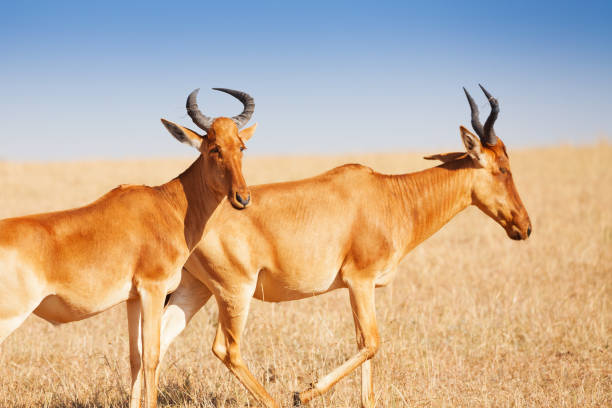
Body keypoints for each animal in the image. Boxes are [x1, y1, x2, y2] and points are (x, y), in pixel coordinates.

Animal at [0, 87, 256, 408]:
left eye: (241, 147)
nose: (242, 198)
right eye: (214, 148)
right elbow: (152, 356)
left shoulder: (132, 298)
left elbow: (135, 358)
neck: (168, 205)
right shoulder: (153, 289)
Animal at [143, 84, 532, 406]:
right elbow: (372, 342)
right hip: (235, 290)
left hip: (195, 289)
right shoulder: (359, 280)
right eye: (502, 168)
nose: (524, 227)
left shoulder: (361, 288)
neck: (388, 195)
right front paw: (303, 392)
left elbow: (365, 349)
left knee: (158, 341)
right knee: (226, 349)